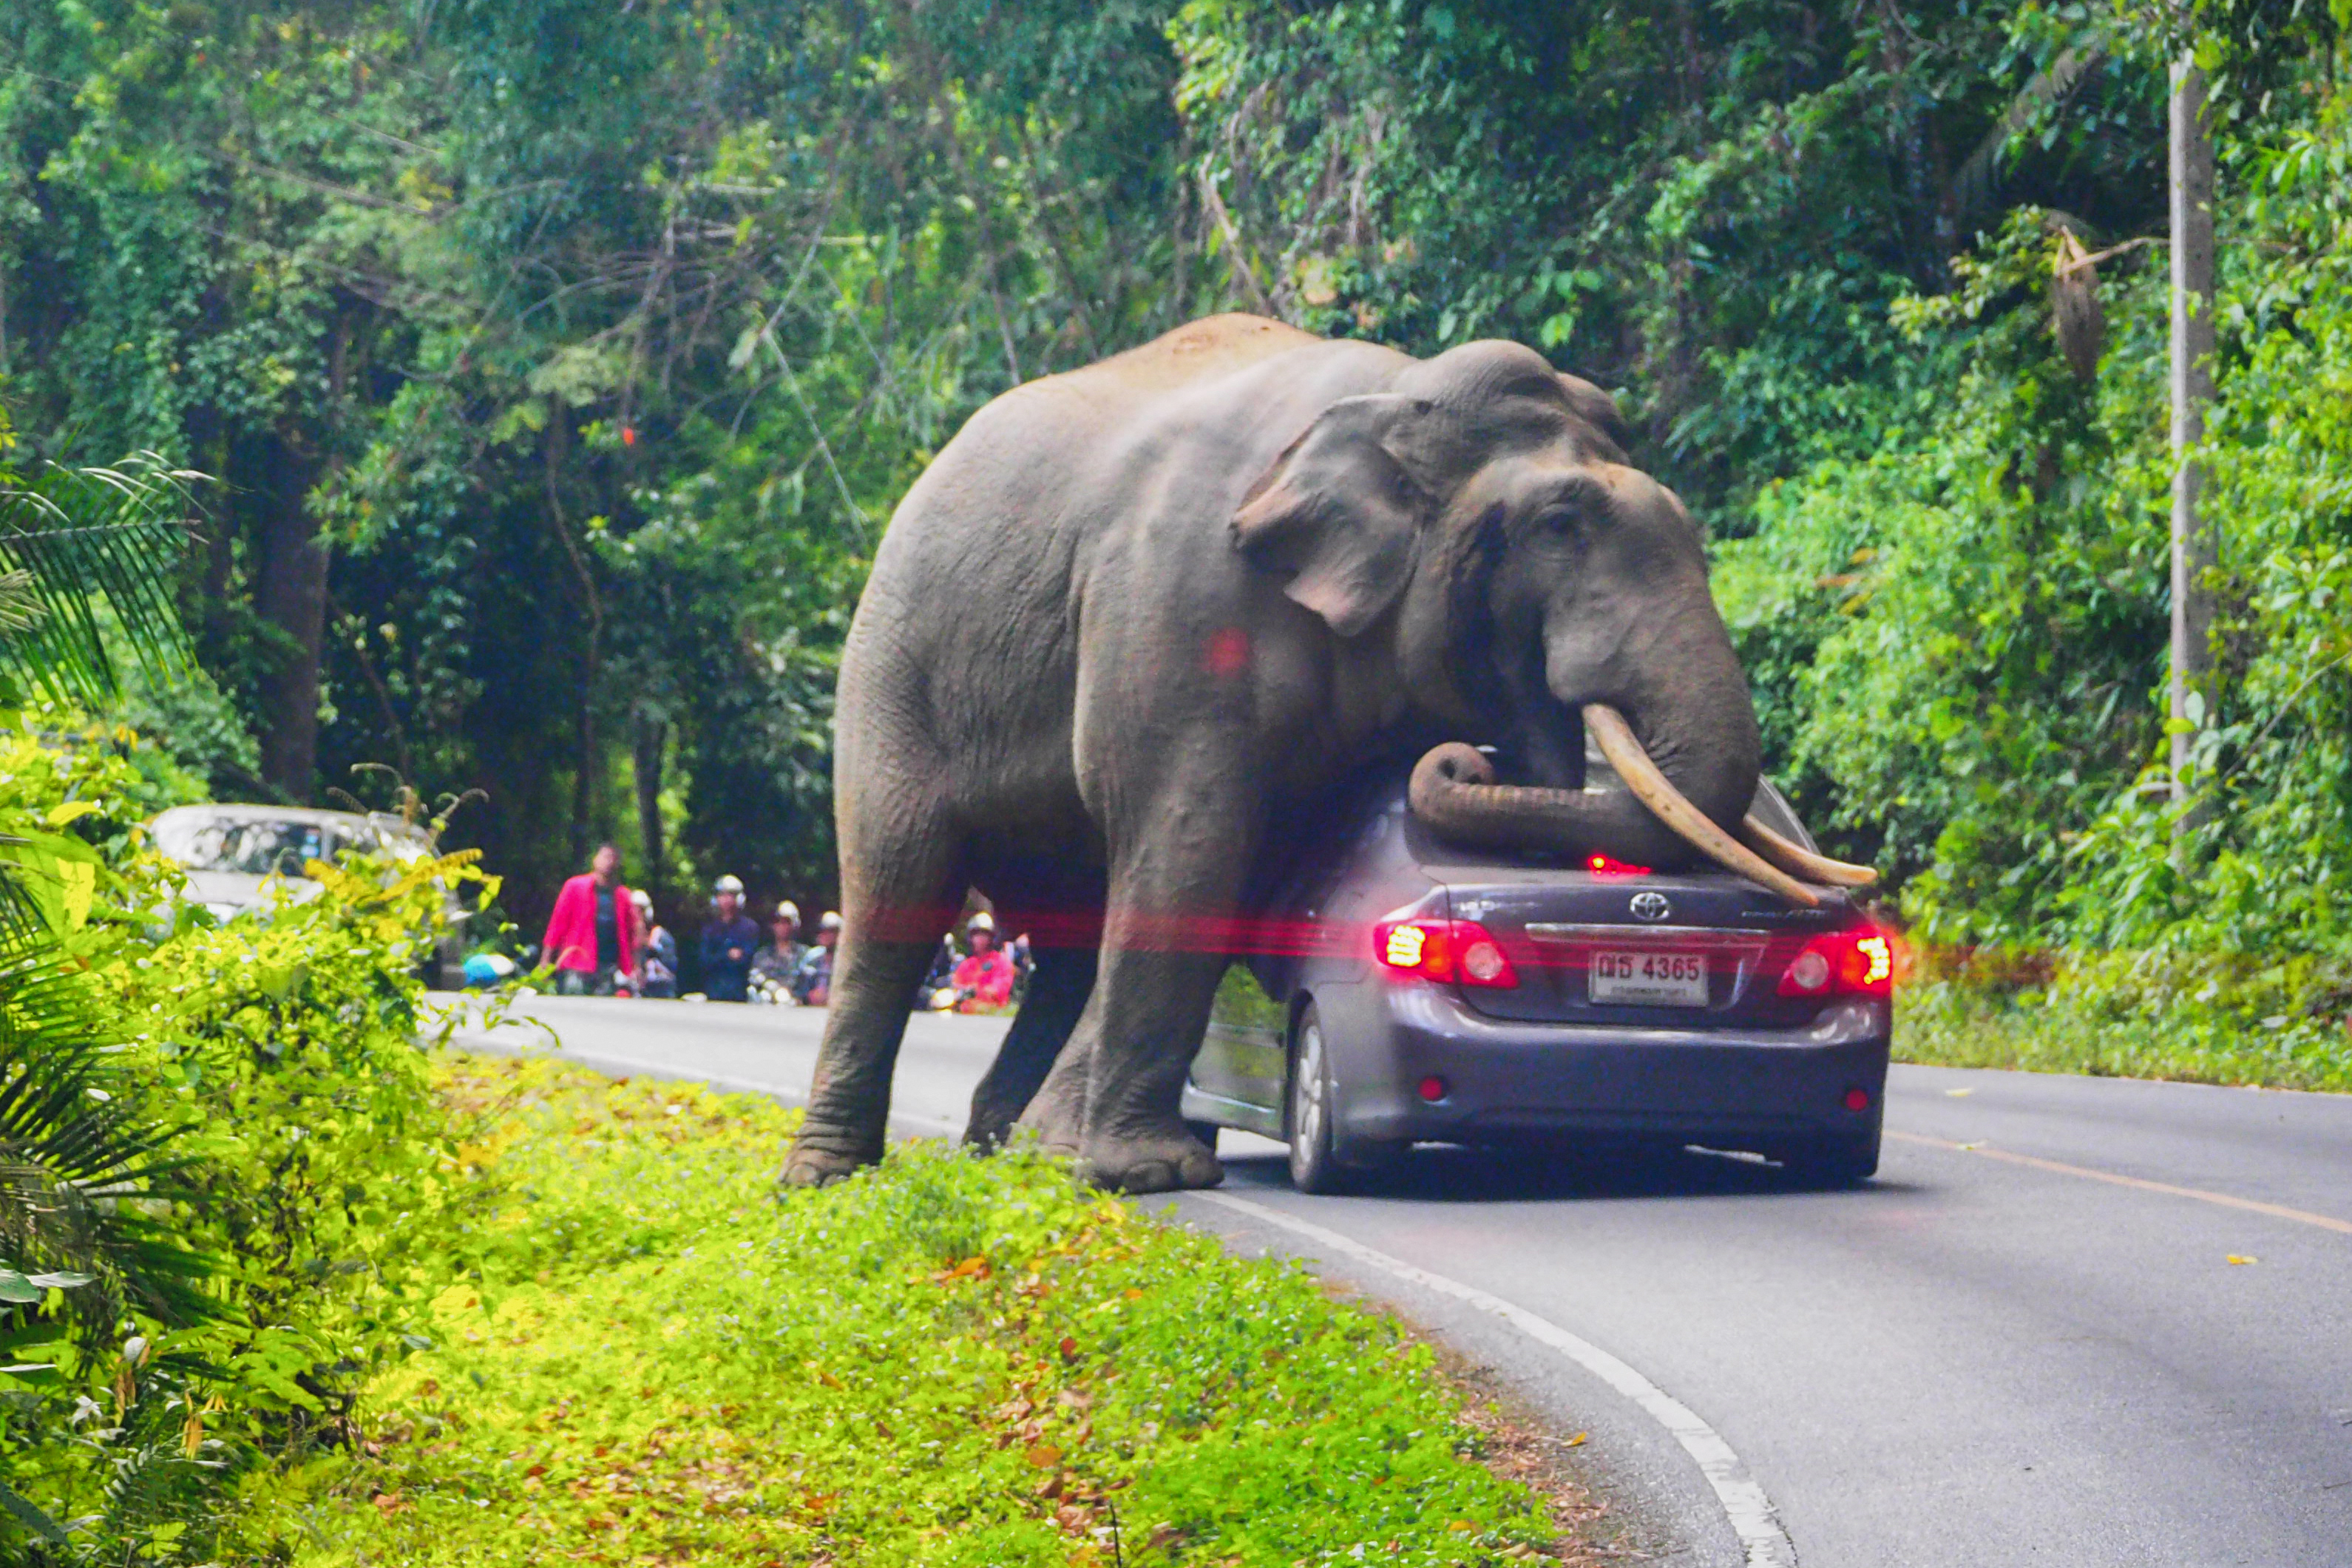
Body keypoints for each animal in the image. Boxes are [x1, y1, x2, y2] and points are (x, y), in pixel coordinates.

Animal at [790, 305, 1872, 1194]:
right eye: (1561, 524)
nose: (1467, 753)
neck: (1399, 395)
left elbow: (1234, 868)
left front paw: (1085, 1162)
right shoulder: (1178, 602)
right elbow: (1194, 844)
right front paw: (1146, 1176)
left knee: (1065, 933)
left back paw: (1000, 1153)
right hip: (893, 665)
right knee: (900, 886)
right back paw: (829, 1179)